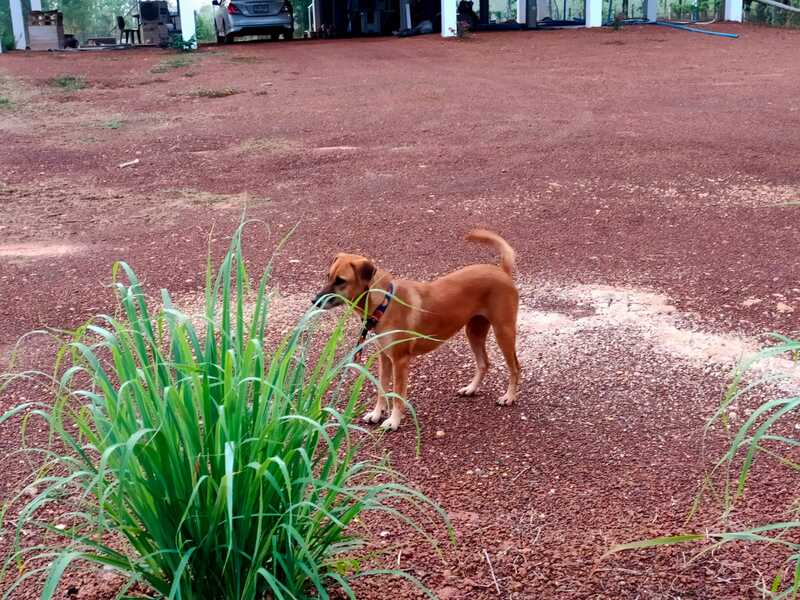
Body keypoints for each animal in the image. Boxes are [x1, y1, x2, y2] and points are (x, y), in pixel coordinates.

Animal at [312, 230, 520, 432]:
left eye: (341, 281)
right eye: (328, 276)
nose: (314, 301)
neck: (384, 303)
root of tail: (501, 270)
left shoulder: (400, 361)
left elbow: (397, 395)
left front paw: (393, 421)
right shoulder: (384, 358)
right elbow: (381, 389)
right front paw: (377, 413)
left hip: (503, 332)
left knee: (515, 368)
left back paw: (509, 397)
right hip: (474, 332)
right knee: (484, 363)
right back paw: (471, 388)